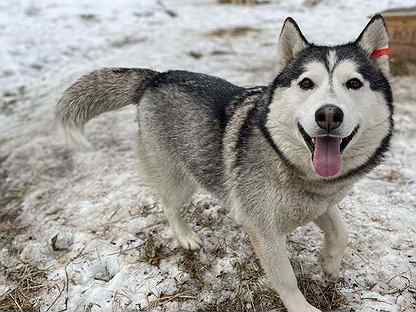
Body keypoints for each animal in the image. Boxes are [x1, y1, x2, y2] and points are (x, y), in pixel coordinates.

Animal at [56, 15, 394, 312]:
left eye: (354, 83)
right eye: (307, 83)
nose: (328, 114)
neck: (288, 162)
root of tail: (156, 77)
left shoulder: (319, 203)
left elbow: (341, 232)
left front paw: (329, 265)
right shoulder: (264, 230)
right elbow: (285, 277)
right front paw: (302, 307)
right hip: (179, 179)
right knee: (169, 205)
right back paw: (186, 237)